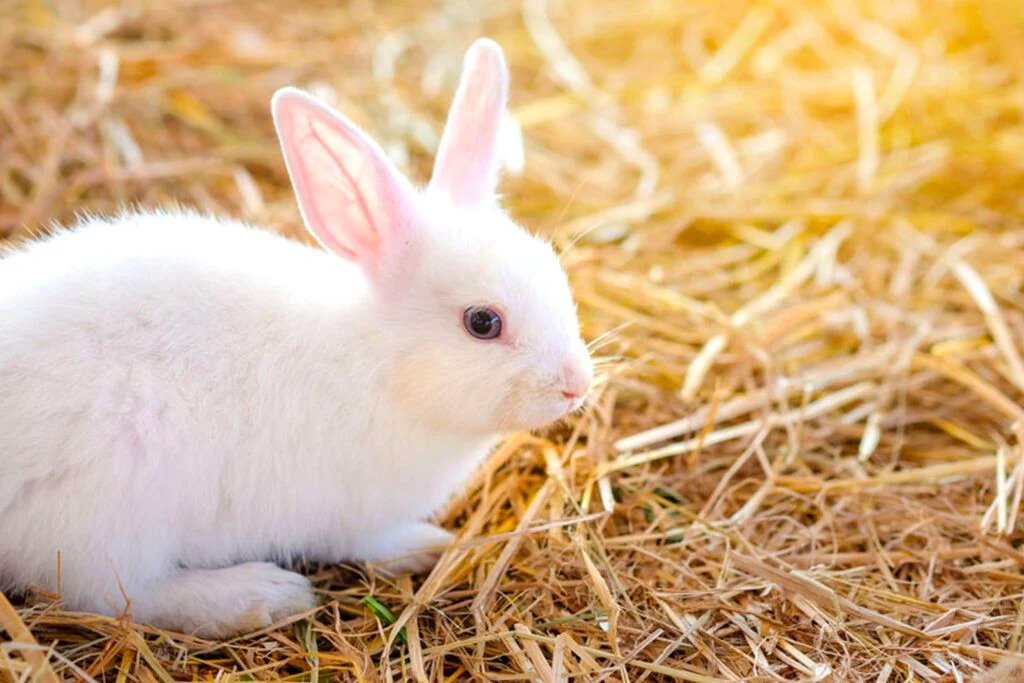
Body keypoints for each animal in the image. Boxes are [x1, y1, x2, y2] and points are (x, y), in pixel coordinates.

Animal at [0, 38, 593, 638]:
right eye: (483, 323)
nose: (576, 385)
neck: (383, 364)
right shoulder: (354, 513)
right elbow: (371, 541)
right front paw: (428, 544)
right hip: (113, 503)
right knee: (115, 594)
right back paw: (260, 595)